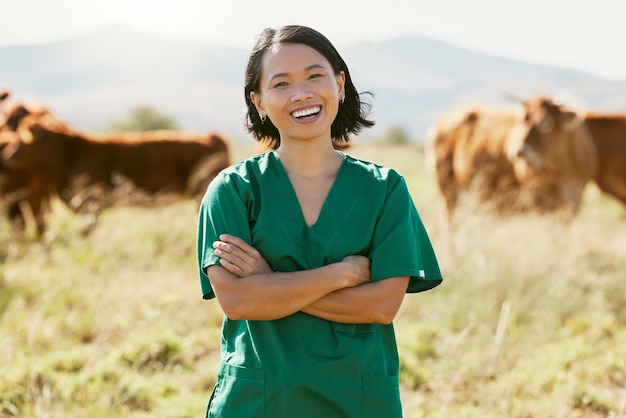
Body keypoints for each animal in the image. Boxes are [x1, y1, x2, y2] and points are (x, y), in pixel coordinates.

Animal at [424, 96, 596, 217]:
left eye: (547, 124)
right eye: (521, 121)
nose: (518, 151)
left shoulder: (574, 201)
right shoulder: (540, 201)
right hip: (447, 189)